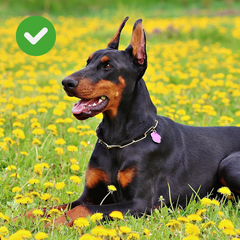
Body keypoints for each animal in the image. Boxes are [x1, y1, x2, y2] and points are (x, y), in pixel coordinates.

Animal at [26, 16, 240, 225]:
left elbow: (80, 210)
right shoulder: (89, 195)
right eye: (87, 62)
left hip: (228, 164)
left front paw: (50, 225)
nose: (66, 83)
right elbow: (51, 207)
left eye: (108, 66)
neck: (117, 139)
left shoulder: (139, 203)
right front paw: (25, 218)